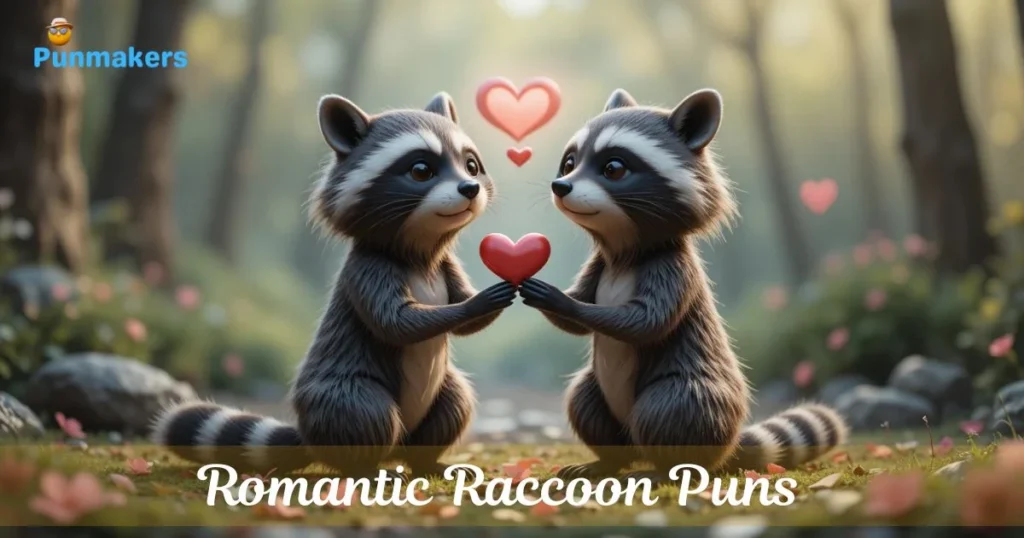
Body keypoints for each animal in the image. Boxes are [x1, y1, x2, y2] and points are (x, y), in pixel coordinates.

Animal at [151, 92, 516, 478]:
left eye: (471, 166)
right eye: (421, 170)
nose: (470, 188)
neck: (419, 253)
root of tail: (311, 437)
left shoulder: (446, 266)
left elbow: (455, 323)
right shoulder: (368, 269)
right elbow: (396, 322)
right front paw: (475, 303)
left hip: (433, 398)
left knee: (454, 400)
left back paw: (426, 461)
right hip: (335, 396)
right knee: (364, 411)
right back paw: (365, 467)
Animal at [520, 88, 848, 482]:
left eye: (614, 168)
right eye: (569, 163)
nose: (561, 185)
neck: (624, 251)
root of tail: (728, 445)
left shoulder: (672, 268)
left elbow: (646, 322)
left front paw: (561, 301)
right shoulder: (599, 265)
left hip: (702, 401)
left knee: (671, 407)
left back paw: (668, 469)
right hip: (604, 399)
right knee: (584, 399)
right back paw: (606, 461)